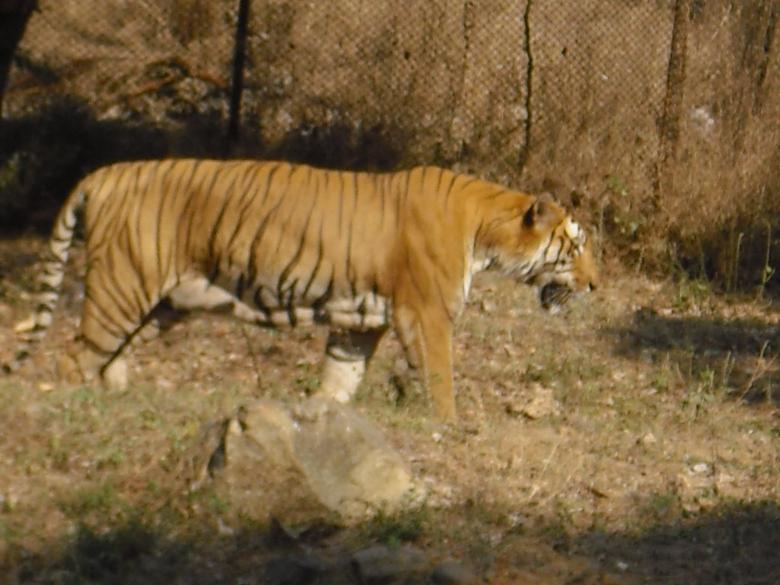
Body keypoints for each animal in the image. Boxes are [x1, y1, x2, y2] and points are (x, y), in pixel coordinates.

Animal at [12, 159, 598, 421]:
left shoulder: (360, 326)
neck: (486, 231)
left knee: (111, 358)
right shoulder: (428, 316)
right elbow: (441, 381)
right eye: (574, 246)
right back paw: (78, 408)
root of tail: (104, 172)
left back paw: (120, 401)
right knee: (73, 358)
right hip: (122, 286)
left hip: (158, 303)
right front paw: (450, 429)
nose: (596, 284)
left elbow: (338, 381)